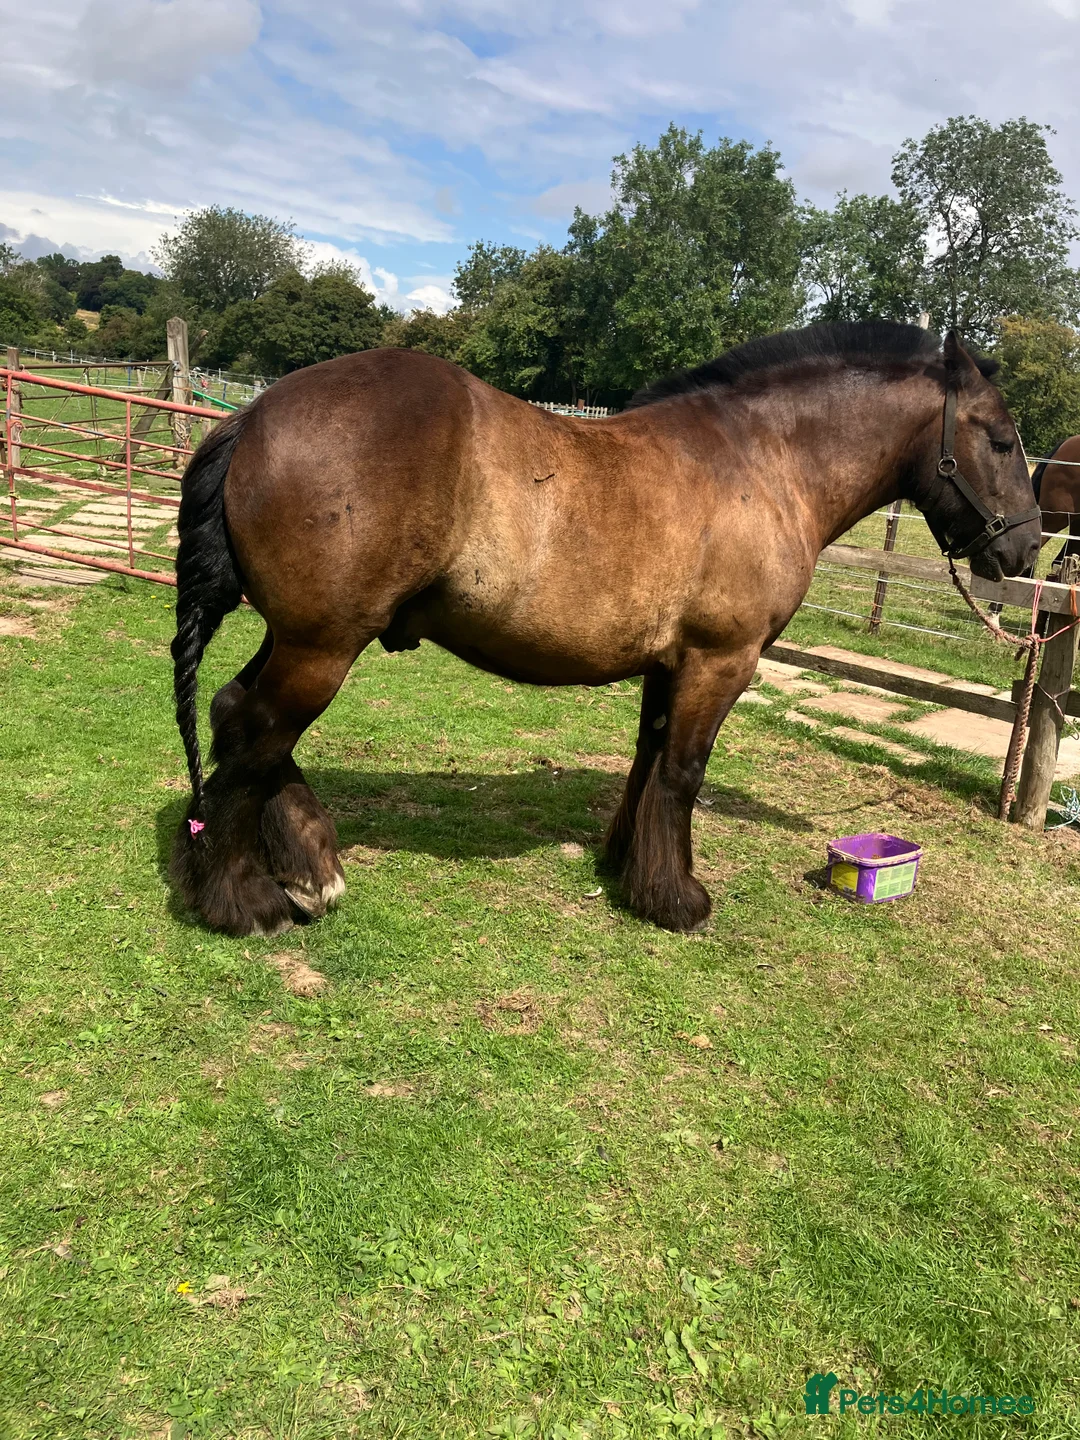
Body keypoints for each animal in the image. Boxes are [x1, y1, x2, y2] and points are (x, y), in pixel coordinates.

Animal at [168, 322, 1040, 938]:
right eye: (1000, 439)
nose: (1027, 548)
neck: (765, 462)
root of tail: (255, 413)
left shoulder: (671, 662)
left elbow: (648, 760)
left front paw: (628, 867)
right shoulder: (721, 661)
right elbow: (683, 771)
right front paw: (678, 900)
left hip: (299, 635)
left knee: (238, 716)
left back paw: (309, 868)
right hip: (323, 644)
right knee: (255, 733)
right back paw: (245, 900)